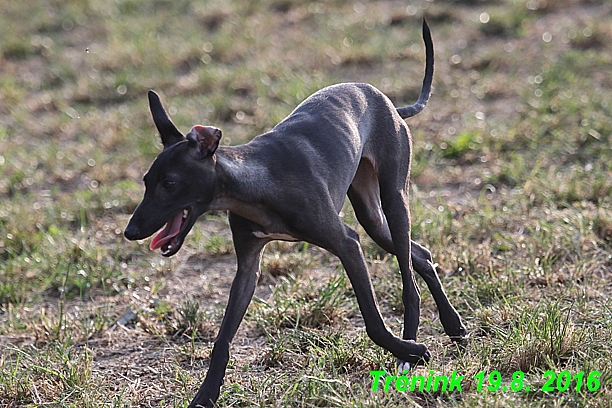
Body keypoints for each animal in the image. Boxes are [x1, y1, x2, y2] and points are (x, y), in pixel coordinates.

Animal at [126, 19, 466, 408]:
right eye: (146, 181)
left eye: (169, 183)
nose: (131, 231)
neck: (254, 184)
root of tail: (389, 103)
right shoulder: (248, 265)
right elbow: (222, 340)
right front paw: (206, 395)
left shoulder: (347, 243)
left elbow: (373, 322)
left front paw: (413, 350)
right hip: (372, 215)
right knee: (420, 254)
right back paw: (454, 327)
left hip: (394, 200)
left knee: (409, 279)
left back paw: (409, 353)